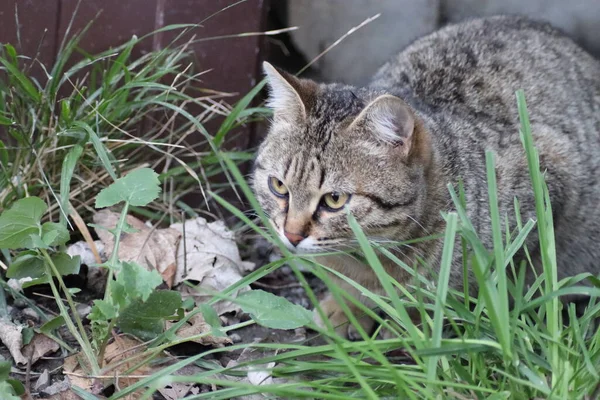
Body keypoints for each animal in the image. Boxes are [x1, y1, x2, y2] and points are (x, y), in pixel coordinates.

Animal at [251, 14, 600, 338]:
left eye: (334, 199)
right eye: (278, 186)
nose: (291, 235)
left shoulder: (547, 180)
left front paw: (413, 319)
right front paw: (348, 304)